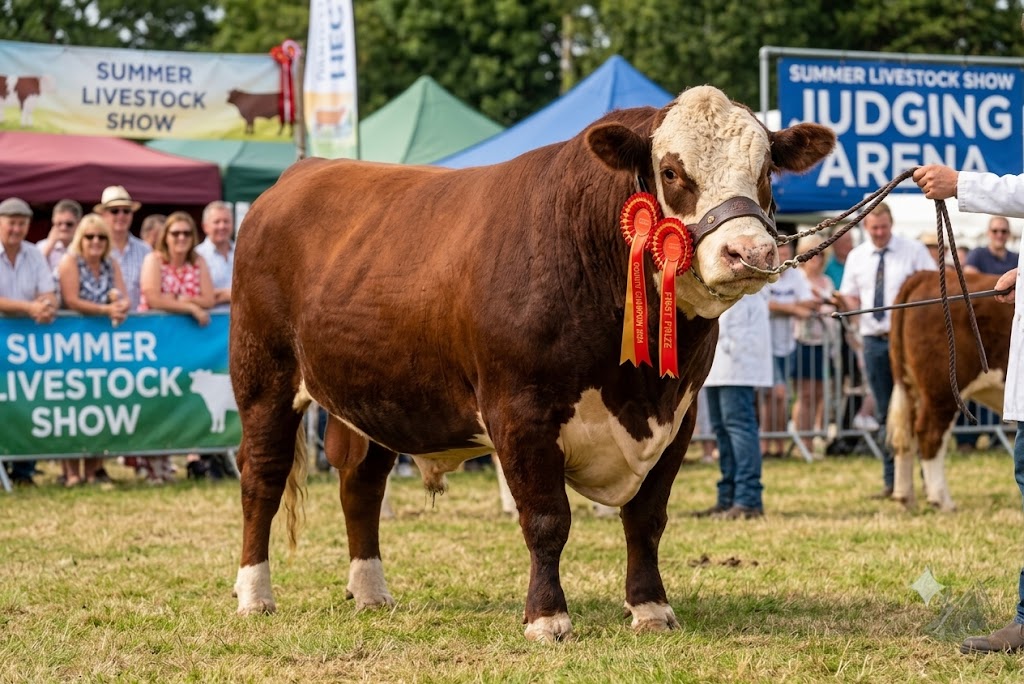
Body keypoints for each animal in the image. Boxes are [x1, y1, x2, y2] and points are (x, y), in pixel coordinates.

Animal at [229, 85, 835, 641]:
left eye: (766, 170)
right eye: (670, 171)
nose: (750, 253)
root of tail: (302, 172)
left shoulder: (678, 416)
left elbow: (646, 518)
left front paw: (651, 608)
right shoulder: (519, 411)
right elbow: (546, 520)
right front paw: (547, 617)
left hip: (375, 396)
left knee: (361, 484)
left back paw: (371, 591)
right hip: (263, 379)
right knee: (261, 477)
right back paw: (255, 595)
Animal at [888, 270, 1012, 512]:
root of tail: (925, 275)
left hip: (911, 386)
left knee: (905, 437)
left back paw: (906, 498)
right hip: (943, 390)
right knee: (929, 434)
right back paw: (942, 500)